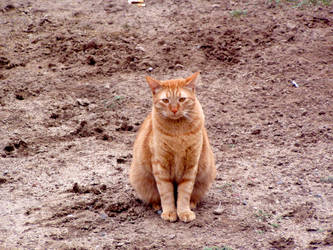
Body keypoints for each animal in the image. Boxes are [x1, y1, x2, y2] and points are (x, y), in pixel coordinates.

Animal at [130, 72, 215, 223]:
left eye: (181, 99)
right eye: (165, 100)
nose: (174, 110)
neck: (177, 132)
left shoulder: (191, 163)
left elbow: (185, 192)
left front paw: (184, 211)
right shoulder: (160, 164)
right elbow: (166, 193)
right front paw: (170, 212)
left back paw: (191, 204)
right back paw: (157, 206)